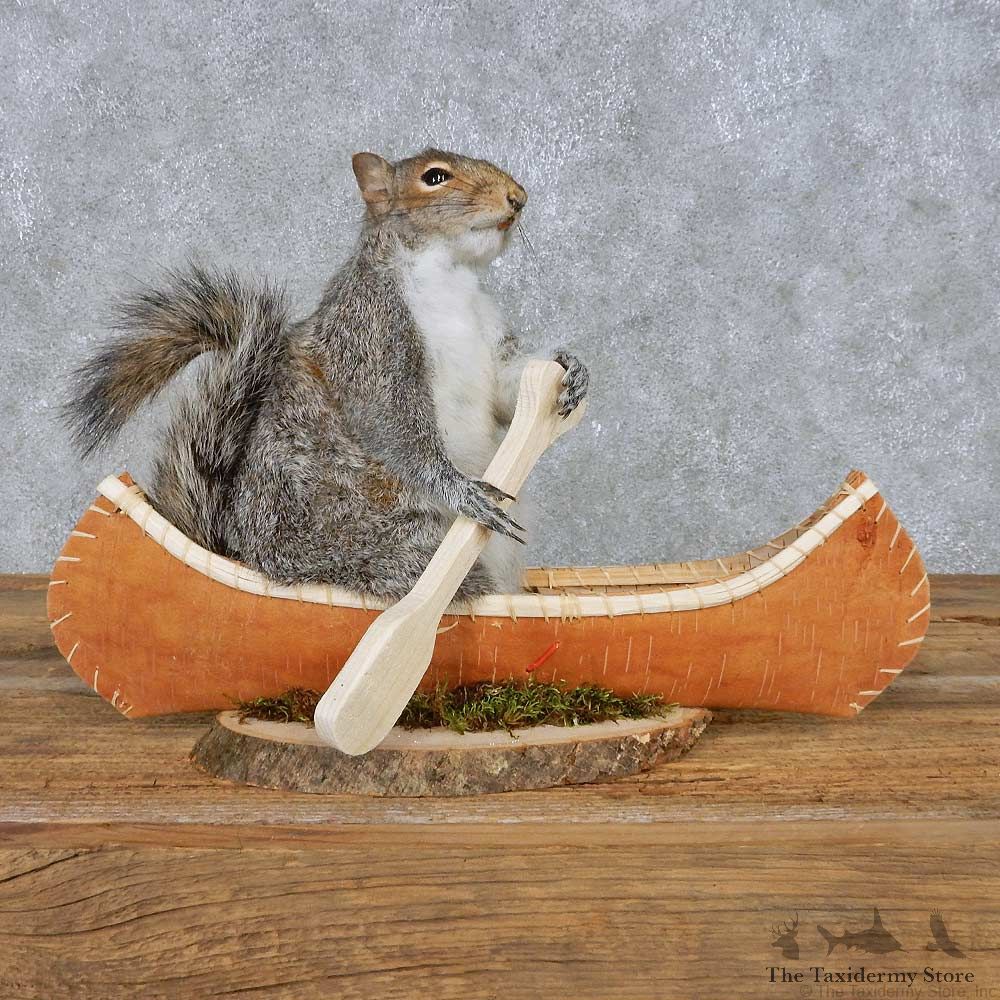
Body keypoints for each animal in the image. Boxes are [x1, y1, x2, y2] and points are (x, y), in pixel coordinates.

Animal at [64, 147, 589, 600]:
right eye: (435, 177)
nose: (517, 198)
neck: (450, 275)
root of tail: (248, 558)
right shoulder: (370, 340)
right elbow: (394, 428)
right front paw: (461, 492)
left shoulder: (488, 338)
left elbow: (510, 392)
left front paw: (571, 370)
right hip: (390, 541)